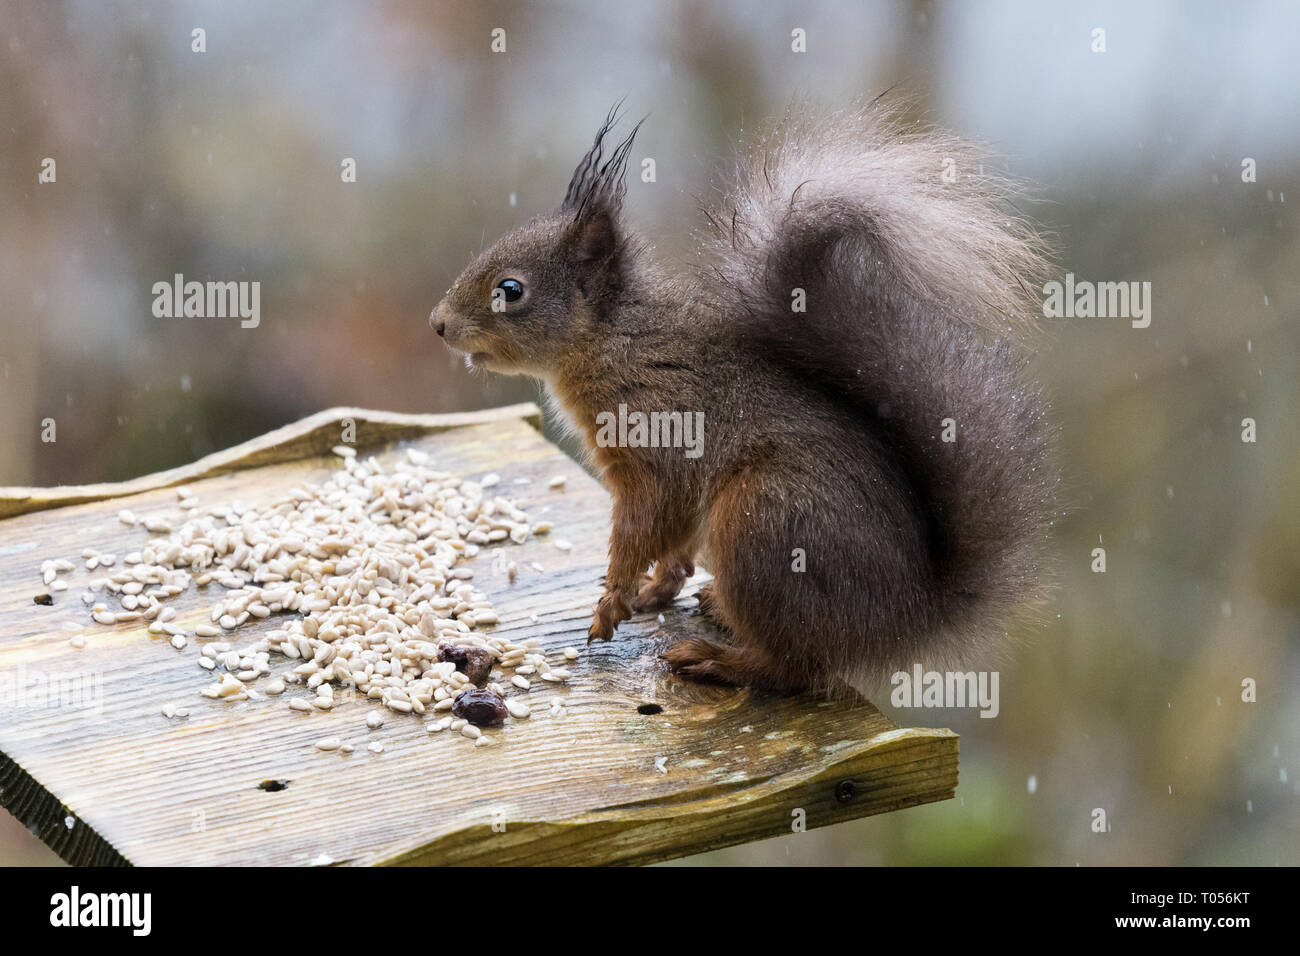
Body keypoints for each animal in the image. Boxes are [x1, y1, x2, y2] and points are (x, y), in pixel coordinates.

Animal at [431, 100, 1060, 691]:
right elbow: (674, 540)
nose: (438, 324)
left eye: (511, 290)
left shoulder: (656, 436)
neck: (616, 341)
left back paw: (716, 660)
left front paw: (611, 601)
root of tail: (903, 619)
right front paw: (656, 588)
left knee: (792, 667)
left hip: (763, 523)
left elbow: (646, 523)